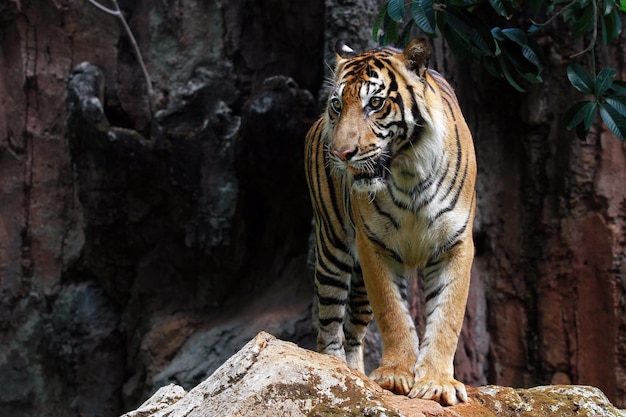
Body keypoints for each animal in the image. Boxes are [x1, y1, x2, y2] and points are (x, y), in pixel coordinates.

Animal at [304, 38, 476, 404]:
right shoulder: (374, 246)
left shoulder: (455, 244)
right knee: (330, 327)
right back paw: (334, 370)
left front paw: (437, 382)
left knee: (353, 331)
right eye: (337, 105)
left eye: (376, 103)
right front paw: (396, 375)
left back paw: (355, 374)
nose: (341, 154)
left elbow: (447, 316)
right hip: (332, 251)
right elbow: (393, 312)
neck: (408, 170)